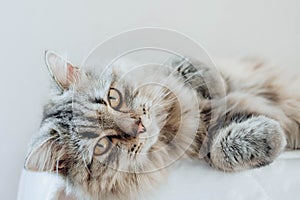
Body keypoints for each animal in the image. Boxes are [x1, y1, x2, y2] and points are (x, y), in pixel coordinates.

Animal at [24, 50, 300, 199]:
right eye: (102, 145)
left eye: (113, 98)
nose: (138, 126)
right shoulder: (197, 148)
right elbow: (219, 151)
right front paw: (271, 137)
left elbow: (187, 66)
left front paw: (208, 86)